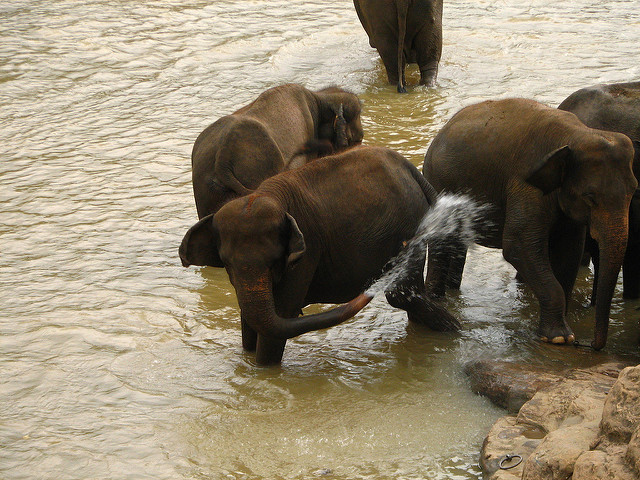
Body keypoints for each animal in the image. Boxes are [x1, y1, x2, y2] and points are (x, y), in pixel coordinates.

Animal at [180, 145, 460, 365]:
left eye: (274, 262)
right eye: (226, 263)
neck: (264, 193)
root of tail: (410, 169)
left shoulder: (306, 252)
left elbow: (281, 314)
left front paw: (263, 371)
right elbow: (251, 316)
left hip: (407, 226)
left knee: (401, 293)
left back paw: (454, 330)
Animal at [422, 98, 638, 350]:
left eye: (633, 191)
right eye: (590, 197)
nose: (589, 344)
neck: (576, 134)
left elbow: (570, 251)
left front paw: (562, 329)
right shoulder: (525, 183)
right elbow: (518, 245)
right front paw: (559, 338)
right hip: (437, 182)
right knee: (442, 241)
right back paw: (437, 299)